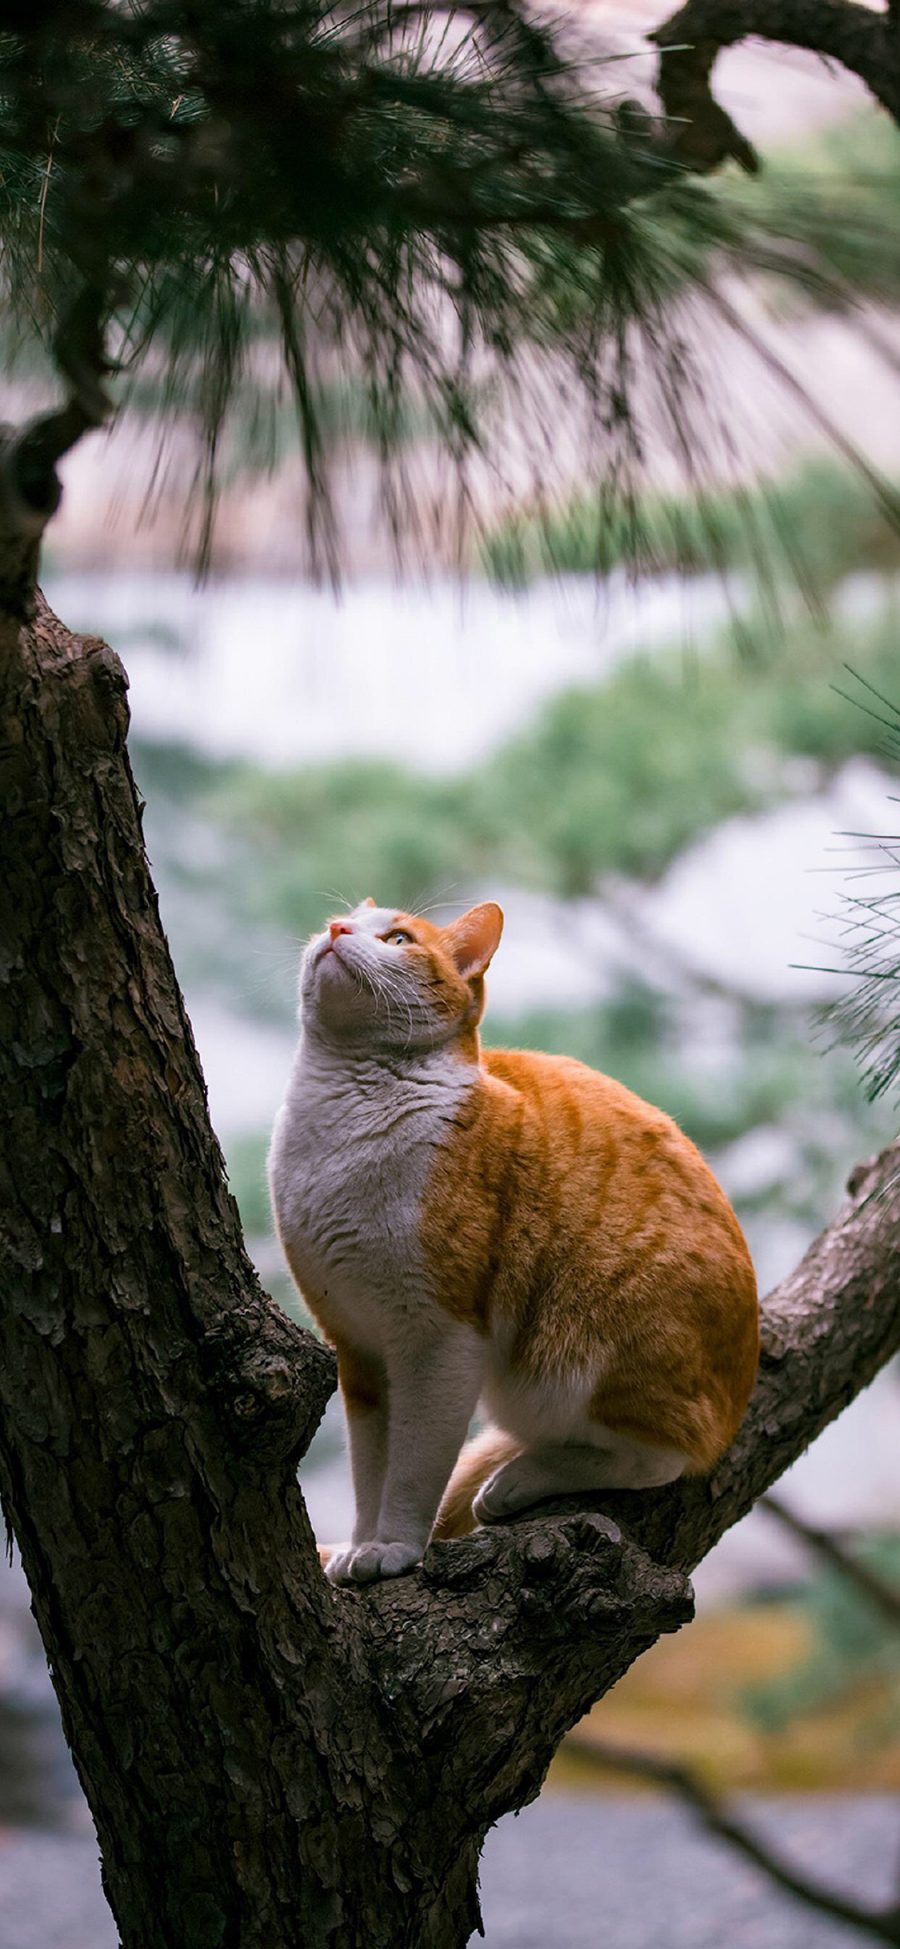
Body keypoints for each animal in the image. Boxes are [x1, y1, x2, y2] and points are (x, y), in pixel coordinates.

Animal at [268, 896, 759, 1582]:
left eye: (397, 939)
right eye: (340, 924)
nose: (337, 931)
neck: (339, 1120)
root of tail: (736, 1403)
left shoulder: (439, 1337)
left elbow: (412, 1468)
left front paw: (396, 1548)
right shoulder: (358, 1348)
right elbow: (372, 1470)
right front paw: (361, 1545)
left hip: (581, 1355)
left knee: (660, 1458)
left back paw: (516, 1482)